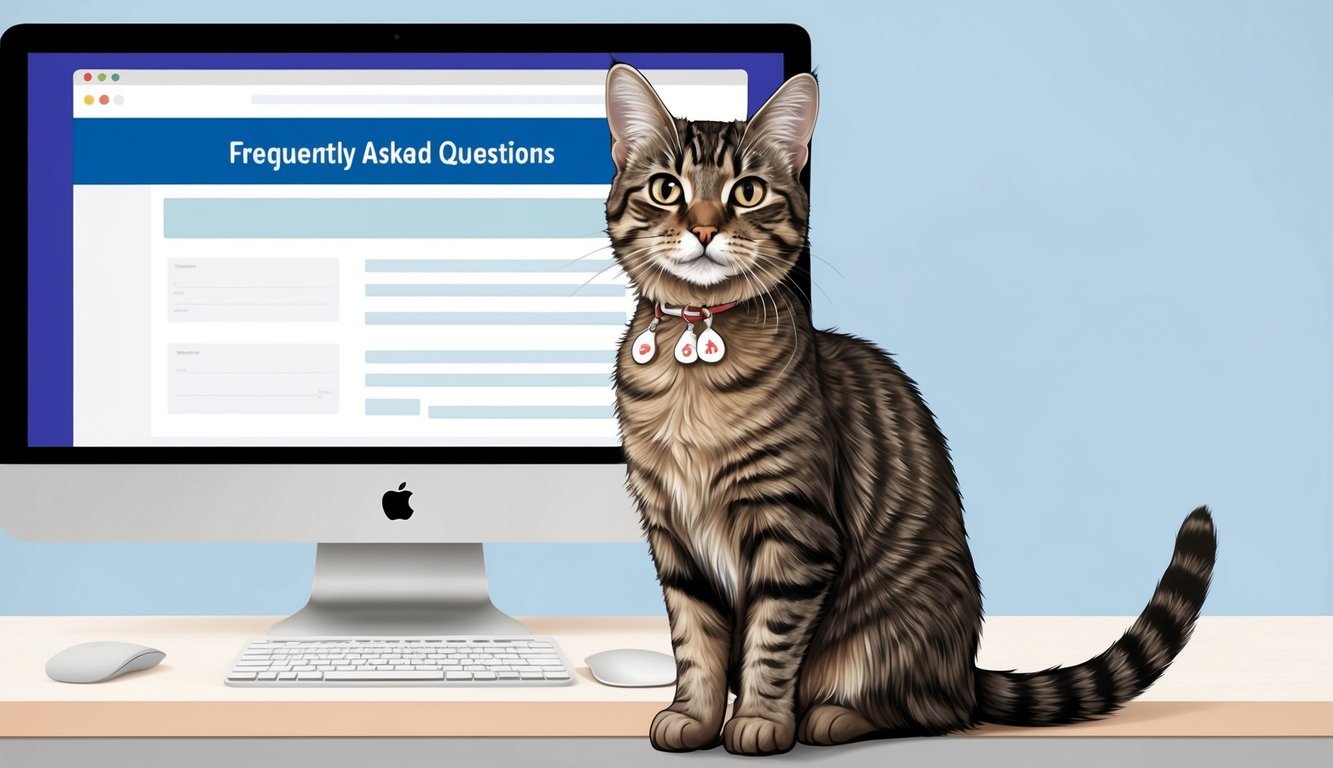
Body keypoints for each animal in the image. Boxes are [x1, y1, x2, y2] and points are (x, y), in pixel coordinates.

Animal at [605, 61, 1221, 757]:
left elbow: (770, 638)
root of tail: (966, 668)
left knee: (934, 709)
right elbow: (696, 641)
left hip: (898, 628)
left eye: (748, 192)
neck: (693, 374)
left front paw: (760, 719)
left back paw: (833, 715)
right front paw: (694, 715)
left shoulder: (794, 531)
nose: (705, 227)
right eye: (666, 189)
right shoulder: (673, 537)